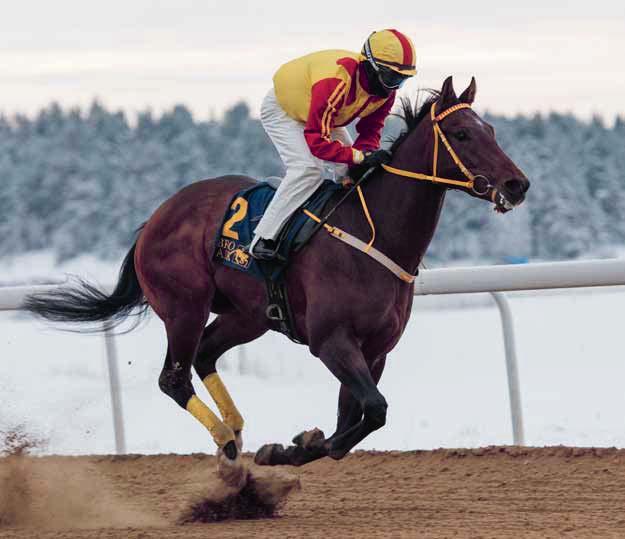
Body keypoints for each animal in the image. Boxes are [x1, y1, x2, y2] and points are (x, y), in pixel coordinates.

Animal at [26, 77, 528, 468]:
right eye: (461, 133)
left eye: (491, 129)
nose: (517, 184)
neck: (375, 237)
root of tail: (155, 218)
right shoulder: (332, 340)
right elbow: (374, 410)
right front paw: (288, 450)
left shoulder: (375, 351)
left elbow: (355, 420)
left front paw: (297, 447)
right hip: (184, 307)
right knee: (174, 376)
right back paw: (225, 440)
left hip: (248, 316)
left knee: (205, 354)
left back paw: (235, 430)